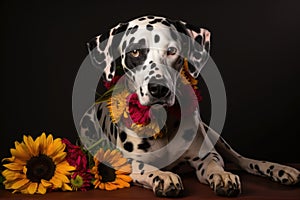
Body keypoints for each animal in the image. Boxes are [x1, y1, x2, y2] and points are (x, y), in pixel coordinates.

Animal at [79, 15, 300, 197]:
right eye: (134, 52)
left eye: (172, 51)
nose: (158, 89)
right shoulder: (124, 163)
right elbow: (144, 167)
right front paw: (162, 176)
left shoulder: (207, 154)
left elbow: (213, 164)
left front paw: (221, 175)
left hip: (214, 135)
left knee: (243, 161)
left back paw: (280, 169)